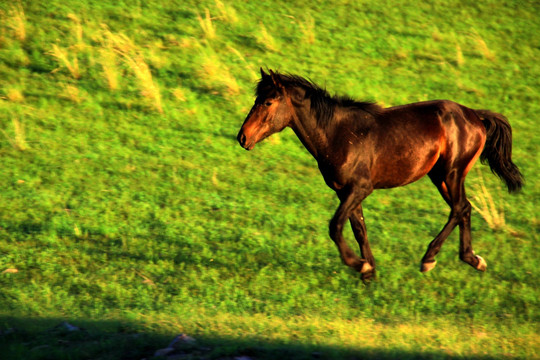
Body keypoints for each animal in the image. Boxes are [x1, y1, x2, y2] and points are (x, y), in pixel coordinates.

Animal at [236, 68, 524, 282]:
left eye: (268, 101)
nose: (243, 137)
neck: (338, 134)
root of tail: (475, 115)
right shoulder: (345, 191)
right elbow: (359, 229)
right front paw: (369, 271)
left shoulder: (360, 188)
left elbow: (335, 226)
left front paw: (359, 265)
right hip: (440, 177)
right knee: (464, 208)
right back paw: (473, 259)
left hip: (452, 173)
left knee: (459, 208)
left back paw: (430, 260)